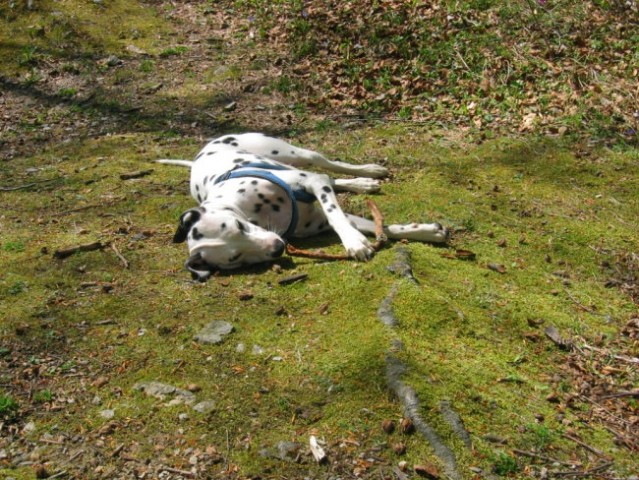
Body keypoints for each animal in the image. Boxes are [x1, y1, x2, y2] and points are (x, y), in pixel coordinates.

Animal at [160, 133, 450, 280]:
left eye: (239, 226)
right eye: (235, 259)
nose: (277, 248)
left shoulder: (312, 183)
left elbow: (336, 214)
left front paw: (353, 242)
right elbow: (382, 227)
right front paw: (428, 232)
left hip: (294, 154)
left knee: (328, 166)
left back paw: (368, 172)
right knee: (333, 179)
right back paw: (363, 184)